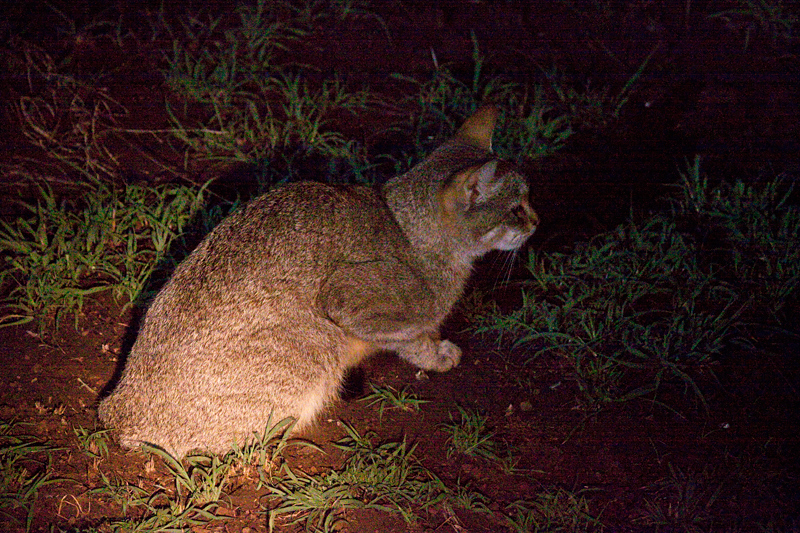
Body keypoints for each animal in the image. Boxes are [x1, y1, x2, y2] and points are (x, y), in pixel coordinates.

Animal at [98, 105, 536, 458]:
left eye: (528, 201)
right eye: (516, 208)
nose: (536, 221)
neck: (407, 226)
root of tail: (117, 411)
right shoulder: (350, 303)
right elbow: (413, 337)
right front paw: (439, 354)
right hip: (315, 349)